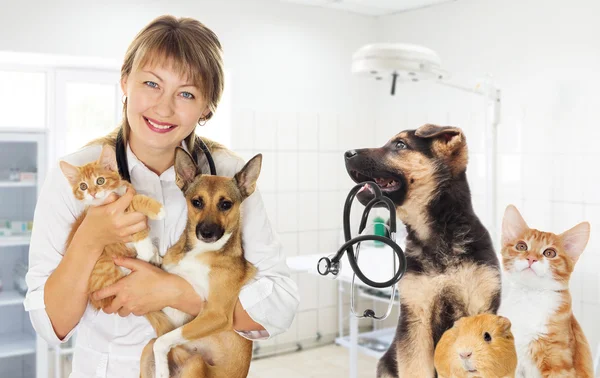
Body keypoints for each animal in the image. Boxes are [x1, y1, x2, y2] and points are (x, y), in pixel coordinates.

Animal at [59, 144, 165, 310]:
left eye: (100, 180)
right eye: (83, 186)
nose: (93, 193)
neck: (114, 194)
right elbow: (134, 203)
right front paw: (157, 211)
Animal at [142, 148, 264, 378]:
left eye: (225, 204)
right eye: (197, 202)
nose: (206, 233)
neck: (200, 251)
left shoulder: (215, 313)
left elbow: (163, 340)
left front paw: (161, 370)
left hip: (196, 362)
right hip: (148, 350)